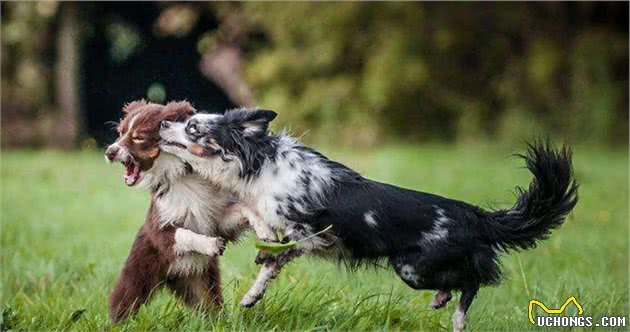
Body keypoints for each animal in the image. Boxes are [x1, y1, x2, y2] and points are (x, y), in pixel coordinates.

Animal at [105, 100, 274, 322]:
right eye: (120, 132)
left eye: (139, 137)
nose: (109, 152)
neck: (180, 176)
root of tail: (170, 276)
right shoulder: (159, 226)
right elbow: (181, 233)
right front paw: (210, 244)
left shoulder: (218, 217)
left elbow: (244, 210)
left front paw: (264, 230)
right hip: (137, 276)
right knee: (123, 303)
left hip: (201, 284)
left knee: (210, 307)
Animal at [160, 108, 580, 330]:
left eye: (194, 127)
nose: (163, 123)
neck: (259, 165)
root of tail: (475, 216)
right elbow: (271, 257)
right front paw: (254, 287)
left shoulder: (313, 233)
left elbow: (277, 256)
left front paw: (253, 291)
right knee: (461, 283)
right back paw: (444, 302)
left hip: (412, 269)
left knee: (474, 280)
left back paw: (458, 316)